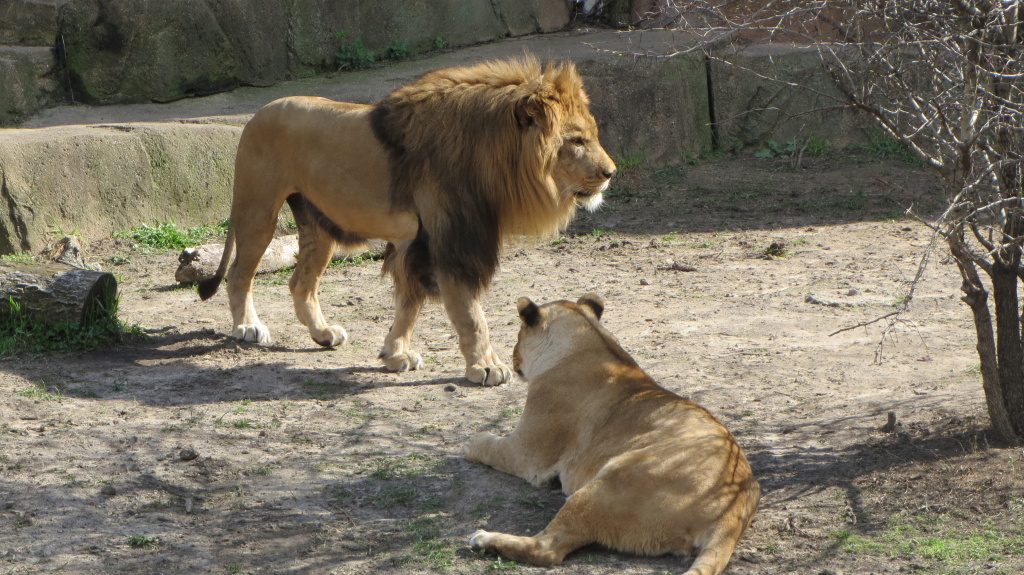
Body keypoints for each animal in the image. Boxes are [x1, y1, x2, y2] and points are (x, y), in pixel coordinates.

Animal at [197, 58, 614, 382]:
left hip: (319, 226)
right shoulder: (449, 241)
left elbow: (410, 306)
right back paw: (247, 327)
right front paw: (486, 365)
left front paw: (395, 354)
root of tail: (258, 112)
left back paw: (322, 333)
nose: (611, 172)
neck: (490, 155)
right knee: (239, 273)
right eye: (576, 140)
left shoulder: (418, 243)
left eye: (590, 135)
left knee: (301, 283)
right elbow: (470, 313)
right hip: (257, 210)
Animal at [464, 294, 761, 572]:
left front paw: (470, 443)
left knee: (548, 549)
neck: (588, 340)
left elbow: (488, 444)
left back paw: (484, 540)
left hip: (607, 484)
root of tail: (732, 513)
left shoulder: (527, 454)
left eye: (518, 335)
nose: (513, 357)